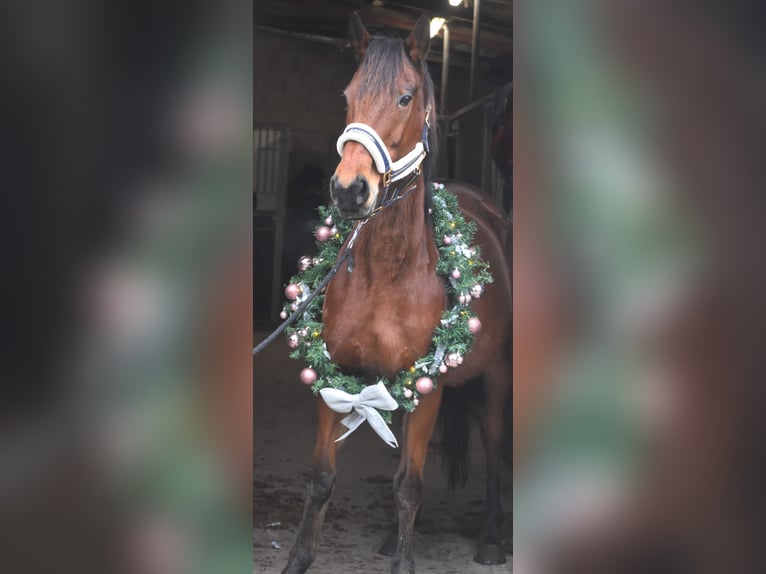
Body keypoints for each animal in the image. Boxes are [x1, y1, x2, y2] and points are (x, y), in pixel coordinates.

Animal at [282, 13, 510, 574]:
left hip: (496, 372)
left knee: (494, 443)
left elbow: (409, 485)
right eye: (347, 96)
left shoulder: (427, 385)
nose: (348, 191)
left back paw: (493, 537)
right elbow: (321, 480)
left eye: (406, 97)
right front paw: (298, 559)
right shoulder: (336, 375)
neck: (386, 272)